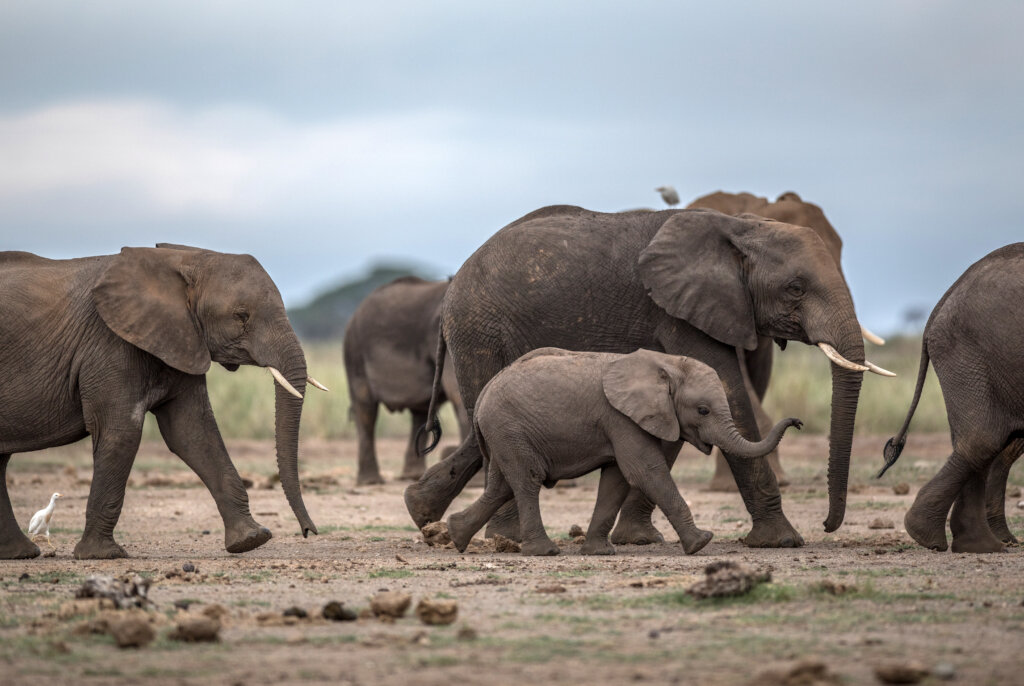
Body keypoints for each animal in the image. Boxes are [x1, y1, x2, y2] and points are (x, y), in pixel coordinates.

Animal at [0, 245, 325, 556]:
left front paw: (251, 540)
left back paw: (21, 553)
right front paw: (103, 555)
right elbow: (122, 433)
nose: (309, 531)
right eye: (241, 316)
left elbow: (193, 433)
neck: (181, 259)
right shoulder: (109, 345)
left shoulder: (183, 339)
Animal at [344, 276, 471, 487]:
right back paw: (370, 482)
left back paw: (412, 476)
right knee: (366, 409)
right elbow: (458, 394)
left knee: (421, 412)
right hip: (354, 353)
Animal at [446, 350, 798, 556]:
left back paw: (456, 534)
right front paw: (702, 542)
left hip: (503, 433)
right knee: (527, 480)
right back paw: (544, 552)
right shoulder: (620, 417)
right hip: (509, 428)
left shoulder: (621, 421)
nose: (797, 421)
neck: (666, 364)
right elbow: (645, 471)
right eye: (703, 410)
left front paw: (599, 552)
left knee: (501, 486)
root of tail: (484, 392)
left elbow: (616, 479)